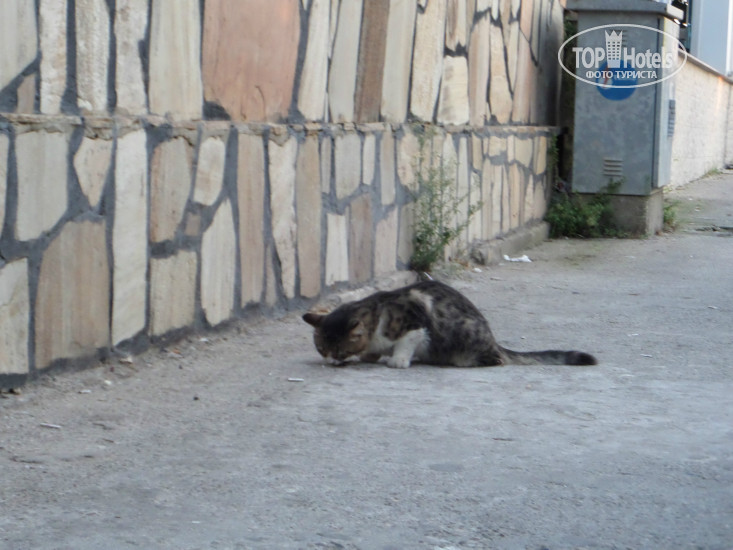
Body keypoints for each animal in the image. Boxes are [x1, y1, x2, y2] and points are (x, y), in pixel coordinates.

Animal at [302, 280, 597, 368]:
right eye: (322, 349)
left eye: (339, 350)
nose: (331, 361)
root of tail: (494, 341)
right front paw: (370, 356)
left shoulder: (416, 317)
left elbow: (407, 341)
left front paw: (397, 359)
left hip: (465, 338)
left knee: (496, 360)